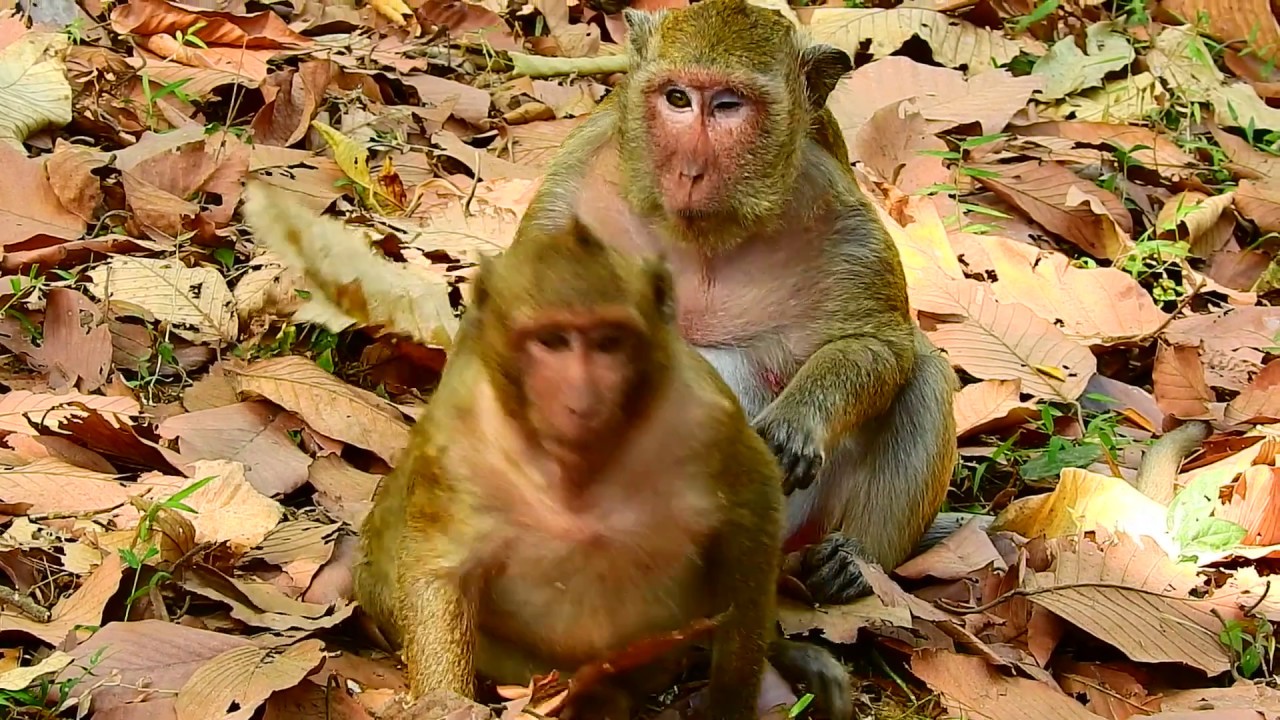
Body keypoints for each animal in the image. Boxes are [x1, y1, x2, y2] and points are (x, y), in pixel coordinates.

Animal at [349, 216, 822, 719]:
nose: (582, 398)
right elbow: (439, 574)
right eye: (552, 341)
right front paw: (446, 702)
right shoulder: (455, 440)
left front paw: (731, 699)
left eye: (608, 342)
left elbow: (752, 517)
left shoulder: (708, 418)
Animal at [513, 0, 959, 609]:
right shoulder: (572, 187)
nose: (690, 171)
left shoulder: (839, 211)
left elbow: (881, 345)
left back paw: (855, 561)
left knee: (925, 373)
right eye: (678, 98)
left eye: (728, 106)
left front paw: (799, 419)